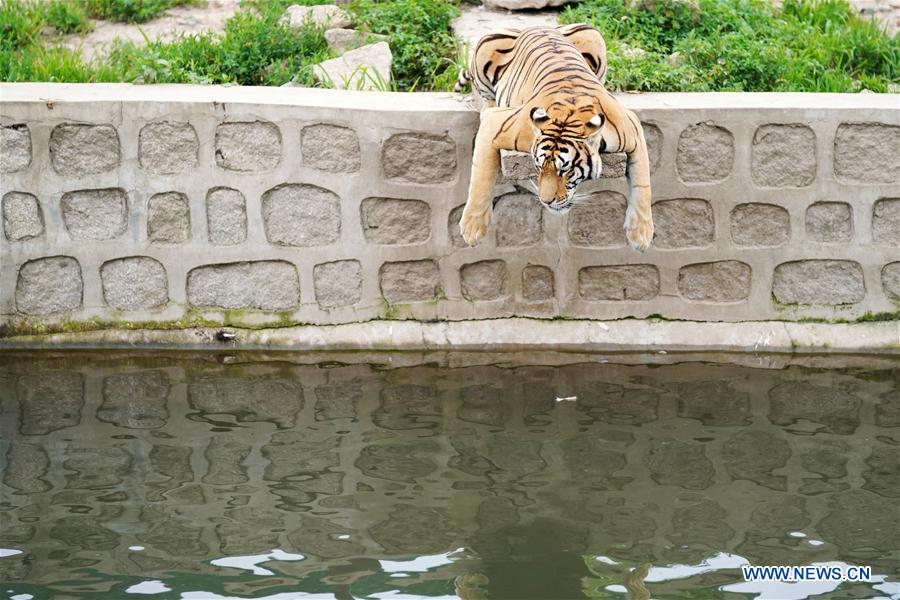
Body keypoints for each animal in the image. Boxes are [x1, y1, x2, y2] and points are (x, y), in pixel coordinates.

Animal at [458, 25, 652, 251]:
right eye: (538, 166)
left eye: (565, 171)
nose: (546, 201)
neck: (570, 114)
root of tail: (536, 26)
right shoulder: (497, 124)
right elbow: (481, 176)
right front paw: (472, 228)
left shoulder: (633, 128)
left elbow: (643, 183)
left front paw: (641, 235)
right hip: (484, 51)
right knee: (485, 96)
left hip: (593, 36)